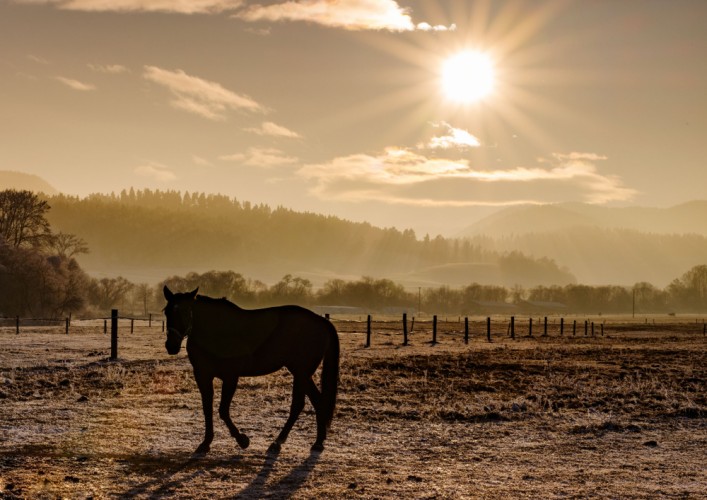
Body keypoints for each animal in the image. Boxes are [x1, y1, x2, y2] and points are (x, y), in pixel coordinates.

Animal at [162, 286, 338, 454]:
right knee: (314, 402)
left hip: (301, 372)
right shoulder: (203, 375)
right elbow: (207, 408)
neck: (216, 330)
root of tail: (321, 321)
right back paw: (311, 442)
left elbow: (223, 410)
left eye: (186, 311)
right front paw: (206, 443)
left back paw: (284, 442)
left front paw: (242, 440)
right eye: (166, 311)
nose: (171, 345)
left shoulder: (230, 377)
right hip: (302, 373)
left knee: (301, 404)